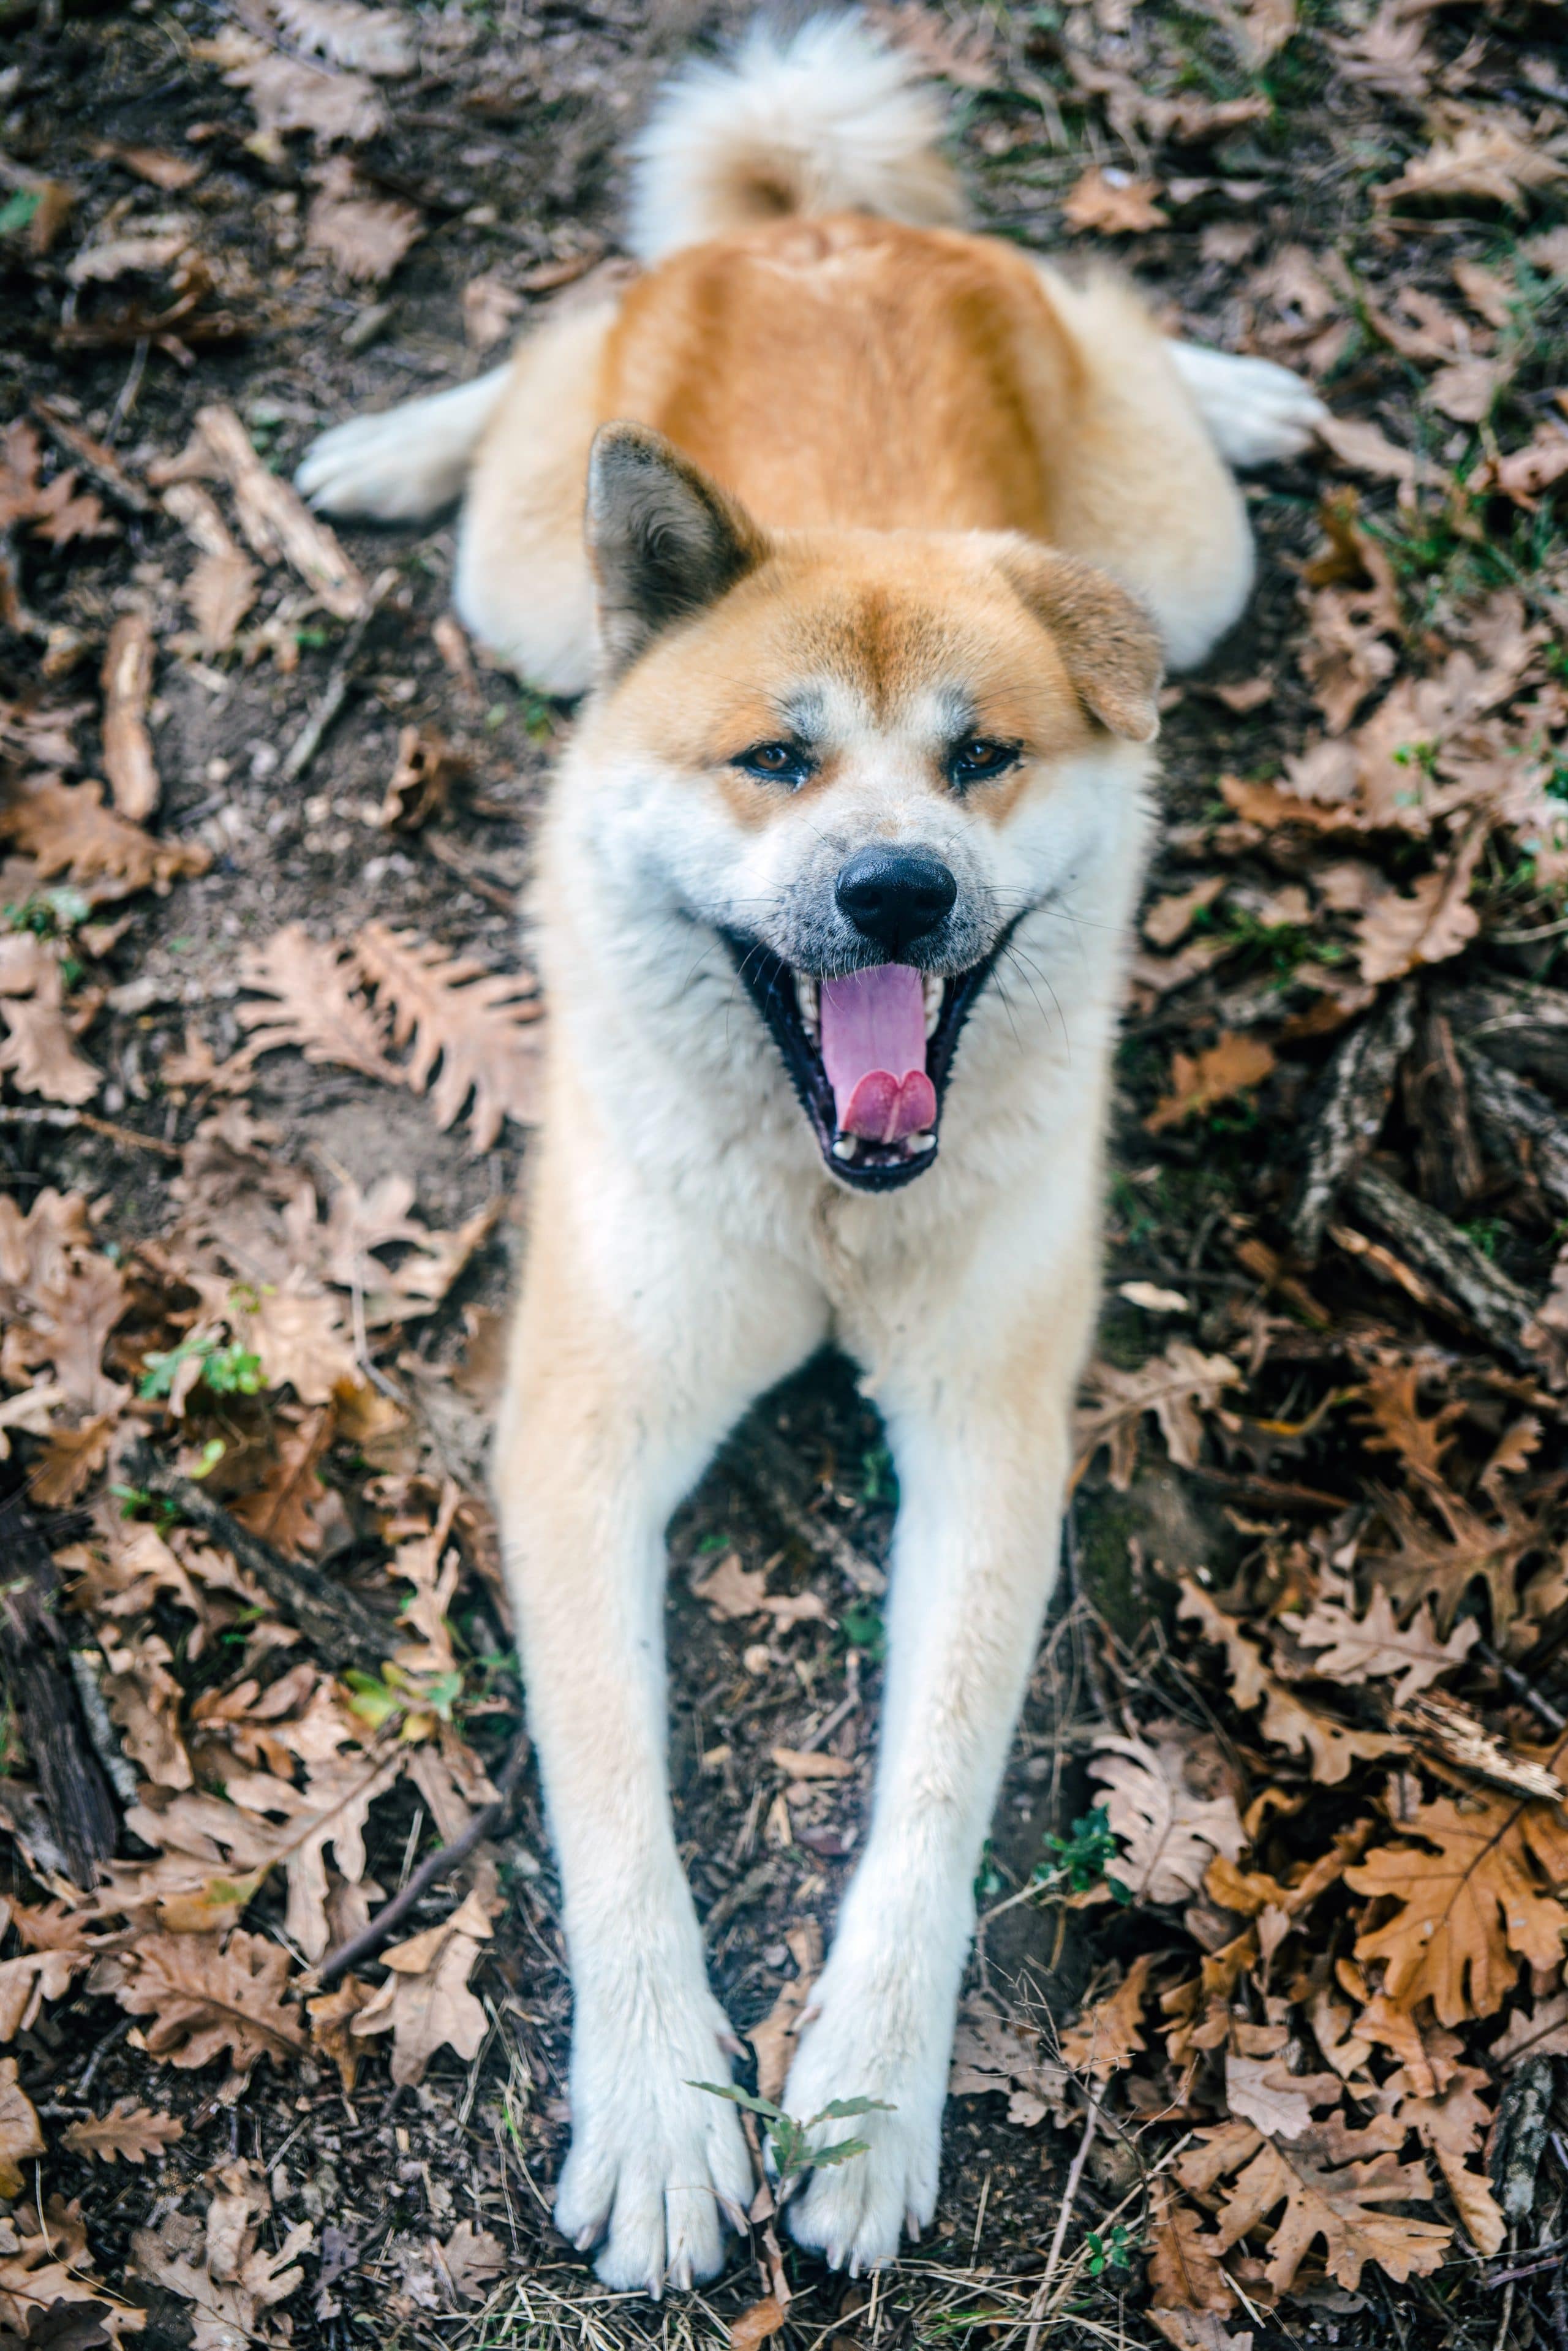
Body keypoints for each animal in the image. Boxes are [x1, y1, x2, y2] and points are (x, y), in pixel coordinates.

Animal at [297, 9, 1325, 2294]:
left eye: (982, 757)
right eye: (776, 757)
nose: (894, 890)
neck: (823, 1196)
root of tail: (819, 230)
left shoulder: (990, 1433)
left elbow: (930, 1796)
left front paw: (858, 2089)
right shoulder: (582, 1433)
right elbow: (613, 1801)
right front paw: (665, 2107)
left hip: (1185, 568)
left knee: (1110, 328)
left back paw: (1231, 384)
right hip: (528, 582)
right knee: (542, 356)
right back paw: (387, 440)